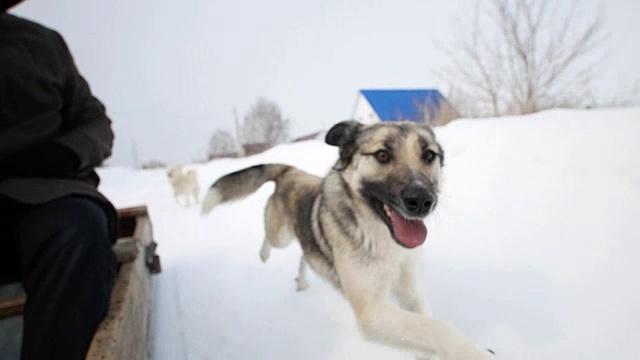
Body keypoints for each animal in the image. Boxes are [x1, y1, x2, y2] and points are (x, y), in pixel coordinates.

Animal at [202, 121, 492, 360]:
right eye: (382, 155)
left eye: (429, 155)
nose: (421, 200)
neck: (383, 239)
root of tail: (290, 171)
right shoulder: (371, 312)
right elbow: (438, 328)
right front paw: (478, 353)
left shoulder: (412, 297)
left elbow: (427, 328)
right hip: (280, 235)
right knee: (270, 239)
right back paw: (264, 255)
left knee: (305, 254)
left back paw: (303, 279)